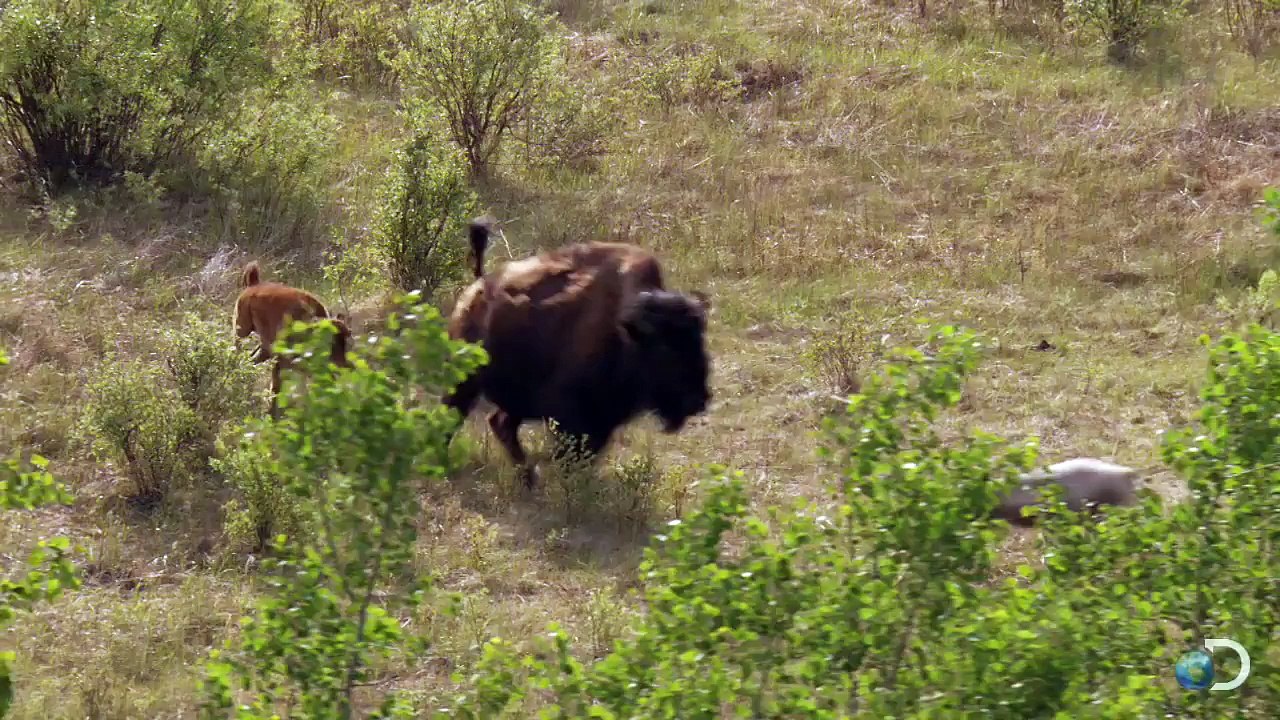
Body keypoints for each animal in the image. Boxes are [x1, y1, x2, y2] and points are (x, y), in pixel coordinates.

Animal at [232, 261, 353, 417]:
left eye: (345, 343)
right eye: (331, 343)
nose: (343, 365)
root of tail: (255, 284)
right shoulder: (281, 359)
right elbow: (276, 387)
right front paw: (271, 415)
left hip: (265, 347)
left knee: (253, 357)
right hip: (243, 329)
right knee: (237, 346)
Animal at [443, 220, 713, 489]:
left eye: (699, 341)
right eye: (664, 348)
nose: (698, 400)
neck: (624, 333)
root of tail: (478, 287)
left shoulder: (602, 421)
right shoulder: (571, 419)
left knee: (500, 423)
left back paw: (529, 480)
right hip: (465, 384)